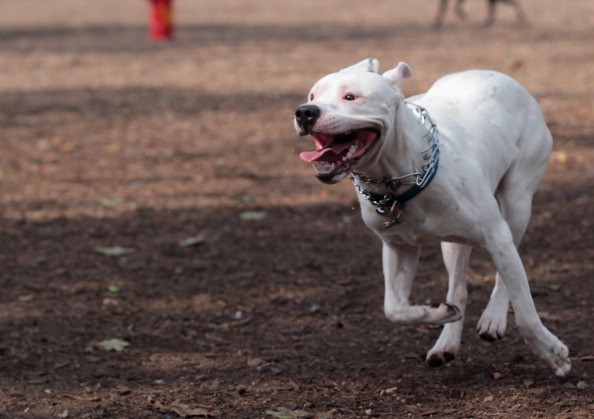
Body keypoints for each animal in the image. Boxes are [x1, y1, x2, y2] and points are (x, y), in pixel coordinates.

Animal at [294, 58, 572, 378]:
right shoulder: (398, 247)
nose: (305, 111)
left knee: (506, 273)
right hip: (453, 243)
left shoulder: (496, 235)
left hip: (517, 203)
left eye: (351, 96)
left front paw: (553, 354)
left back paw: (493, 318)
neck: (400, 179)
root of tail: (499, 75)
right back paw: (446, 343)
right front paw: (437, 312)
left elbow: (525, 311)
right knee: (458, 288)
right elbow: (394, 308)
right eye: (312, 95)